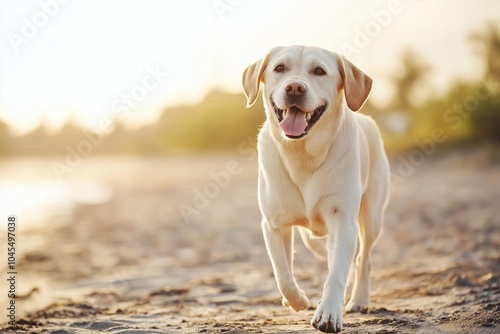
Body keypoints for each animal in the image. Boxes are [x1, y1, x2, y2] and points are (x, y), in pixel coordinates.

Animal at [241, 45, 390, 332]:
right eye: (279, 68)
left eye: (319, 71)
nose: (295, 88)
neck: (302, 153)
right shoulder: (273, 223)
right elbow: (283, 273)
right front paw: (297, 300)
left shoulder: (343, 219)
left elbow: (336, 273)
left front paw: (328, 312)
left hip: (372, 218)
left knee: (363, 258)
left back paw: (359, 299)